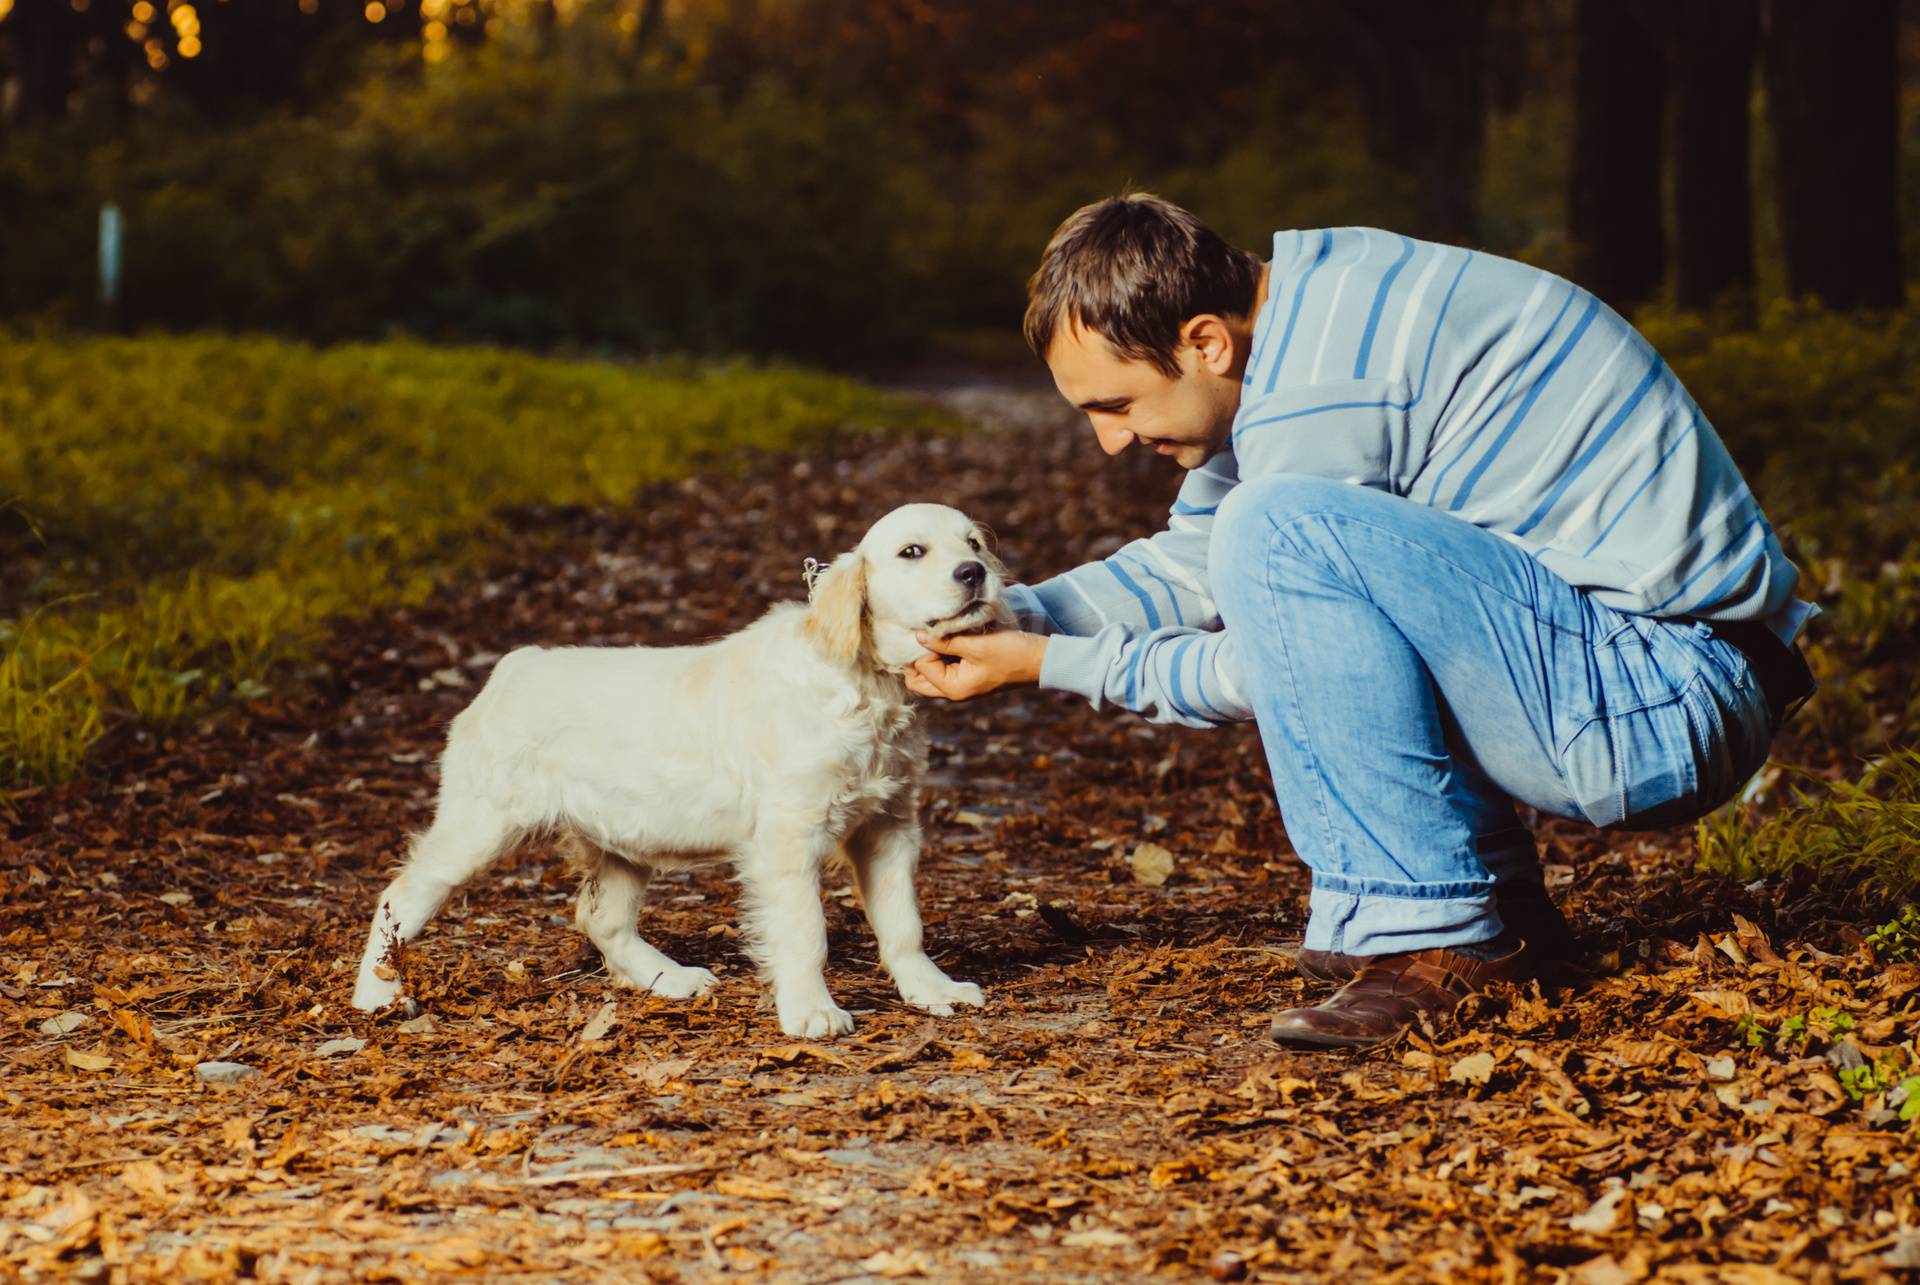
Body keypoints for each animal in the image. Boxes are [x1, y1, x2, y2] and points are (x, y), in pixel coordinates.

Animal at [351, 495, 1006, 1037]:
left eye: (974, 543)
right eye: (912, 552)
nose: (974, 574)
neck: (866, 685)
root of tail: (515, 665)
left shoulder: (888, 826)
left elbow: (903, 922)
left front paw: (932, 990)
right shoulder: (788, 837)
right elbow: (805, 931)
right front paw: (812, 1011)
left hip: (620, 835)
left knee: (601, 917)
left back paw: (670, 979)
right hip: (481, 821)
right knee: (398, 895)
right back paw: (376, 997)